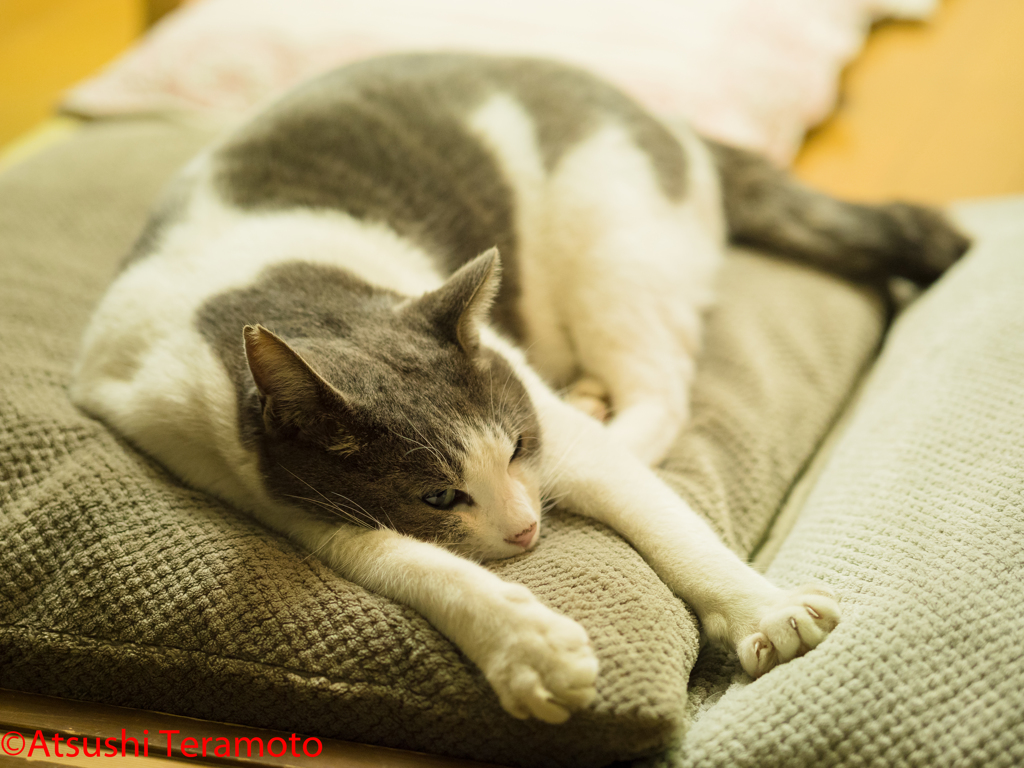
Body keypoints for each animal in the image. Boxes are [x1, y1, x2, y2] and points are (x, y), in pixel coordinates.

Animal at [70, 55, 966, 729]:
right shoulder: (253, 479)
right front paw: (527, 648)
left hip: (609, 245)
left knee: (660, 386)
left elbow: (674, 528)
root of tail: (666, 118)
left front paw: (764, 611)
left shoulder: (549, 429)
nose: (529, 528)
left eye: (518, 446)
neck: (286, 292)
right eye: (438, 496)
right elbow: (400, 558)